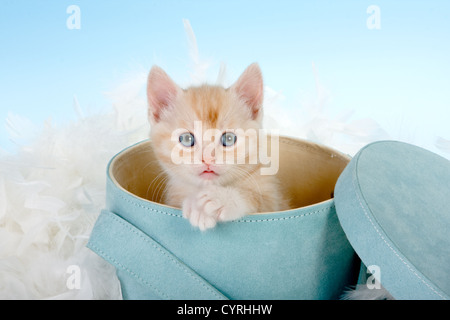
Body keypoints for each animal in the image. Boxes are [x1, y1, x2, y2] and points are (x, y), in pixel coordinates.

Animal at [147, 63, 288, 230]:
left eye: (229, 138)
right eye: (187, 139)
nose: (208, 159)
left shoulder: (274, 203)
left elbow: (256, 198)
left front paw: (219, 199)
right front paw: (196, 206)